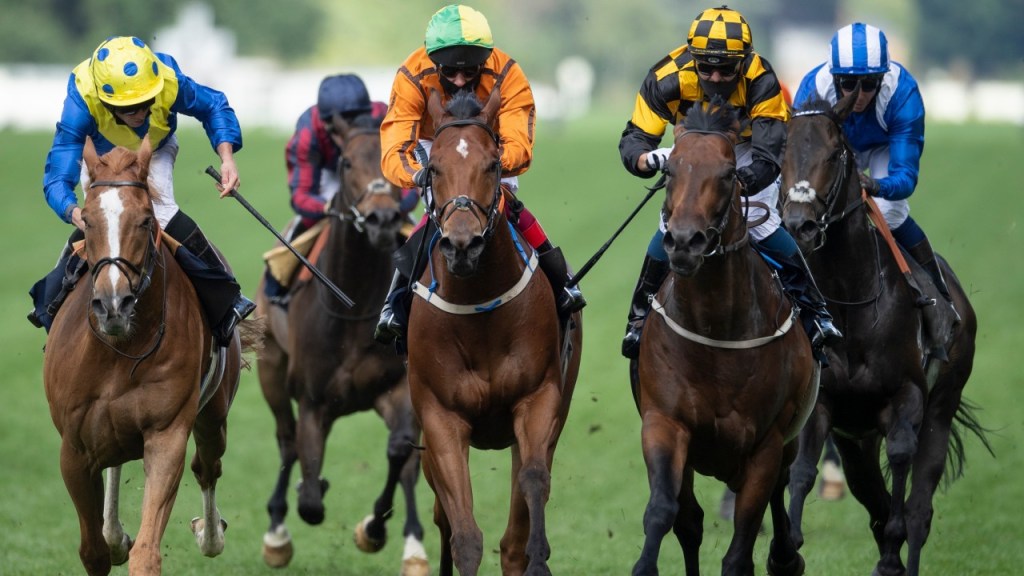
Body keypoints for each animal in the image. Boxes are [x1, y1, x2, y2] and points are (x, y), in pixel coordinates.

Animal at [43, 137, 253, 575]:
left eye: (144, 221)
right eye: (88, 220)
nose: (113, 304)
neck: (118, 351)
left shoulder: (166, 433)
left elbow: (147, 550)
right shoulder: (73, 449)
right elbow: (93, 550)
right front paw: (111, 540)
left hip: (214, 414)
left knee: (207, 466)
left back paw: (210, 534)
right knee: (113, 467)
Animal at [254, 112, 428, 574]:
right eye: (346, 162)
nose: (382, 219)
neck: (353, 304)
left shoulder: (396, 389)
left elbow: (401, 453)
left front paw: (376, 529)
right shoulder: (314, 401)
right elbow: (312, 500)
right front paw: (307, 494)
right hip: (271, 368)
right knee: (286, 438)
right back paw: (276, 532)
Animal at [404, 88, 582, 576]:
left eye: (492, 164)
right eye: (434, 167)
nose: (463, 245)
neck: (478, 309)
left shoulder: (538, 399)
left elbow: (534, 482)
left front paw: (539, 558)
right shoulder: (440, 418)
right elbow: (464, 534)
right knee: (442, 516)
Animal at [631, 100, 817, 576]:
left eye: (730, 173)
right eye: (670, 169)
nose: (684, 242)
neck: (715, 330)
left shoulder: (767, 445)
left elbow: (741, 545)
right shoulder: (664, 421)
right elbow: (664, 511)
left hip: (785, 444)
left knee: (778, 497)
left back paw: (786, 555)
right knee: (690, 522)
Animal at [780, 93, 986, 576]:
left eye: (834, 154)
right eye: (782, 153)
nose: (799, 224)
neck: (849, 302)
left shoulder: (906, 397)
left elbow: (901, 466)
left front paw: (891, 556)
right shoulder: (824, 403)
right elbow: (802, 469)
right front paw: (789, 550)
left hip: (941, 406)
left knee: (919, 508)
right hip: (856, 437)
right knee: (871, 494)